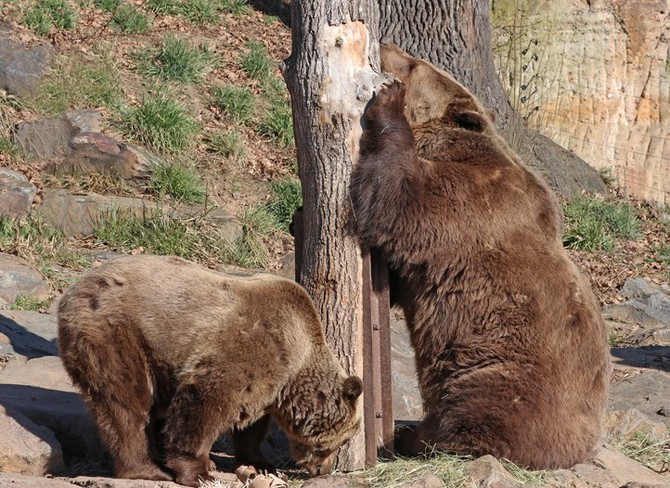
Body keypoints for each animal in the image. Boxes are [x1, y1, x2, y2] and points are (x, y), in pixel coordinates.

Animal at [57, 254, 362, 486]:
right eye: (341, 441)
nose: (324, 470)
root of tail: (72, 291)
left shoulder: (270, 383)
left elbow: (250, 424)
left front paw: (260, 463)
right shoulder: (255, 344)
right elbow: (206, 401)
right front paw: (200, 471)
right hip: (118, 334)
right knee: (126, 404)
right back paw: (147, 468)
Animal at [352, 43, 616, 470]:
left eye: (414, 64)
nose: (387, 46)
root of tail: (579, 450)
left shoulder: (467, 205)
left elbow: (396, 195)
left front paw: (388, 100)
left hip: (494, 369)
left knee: (470, 414)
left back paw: (417, 437)